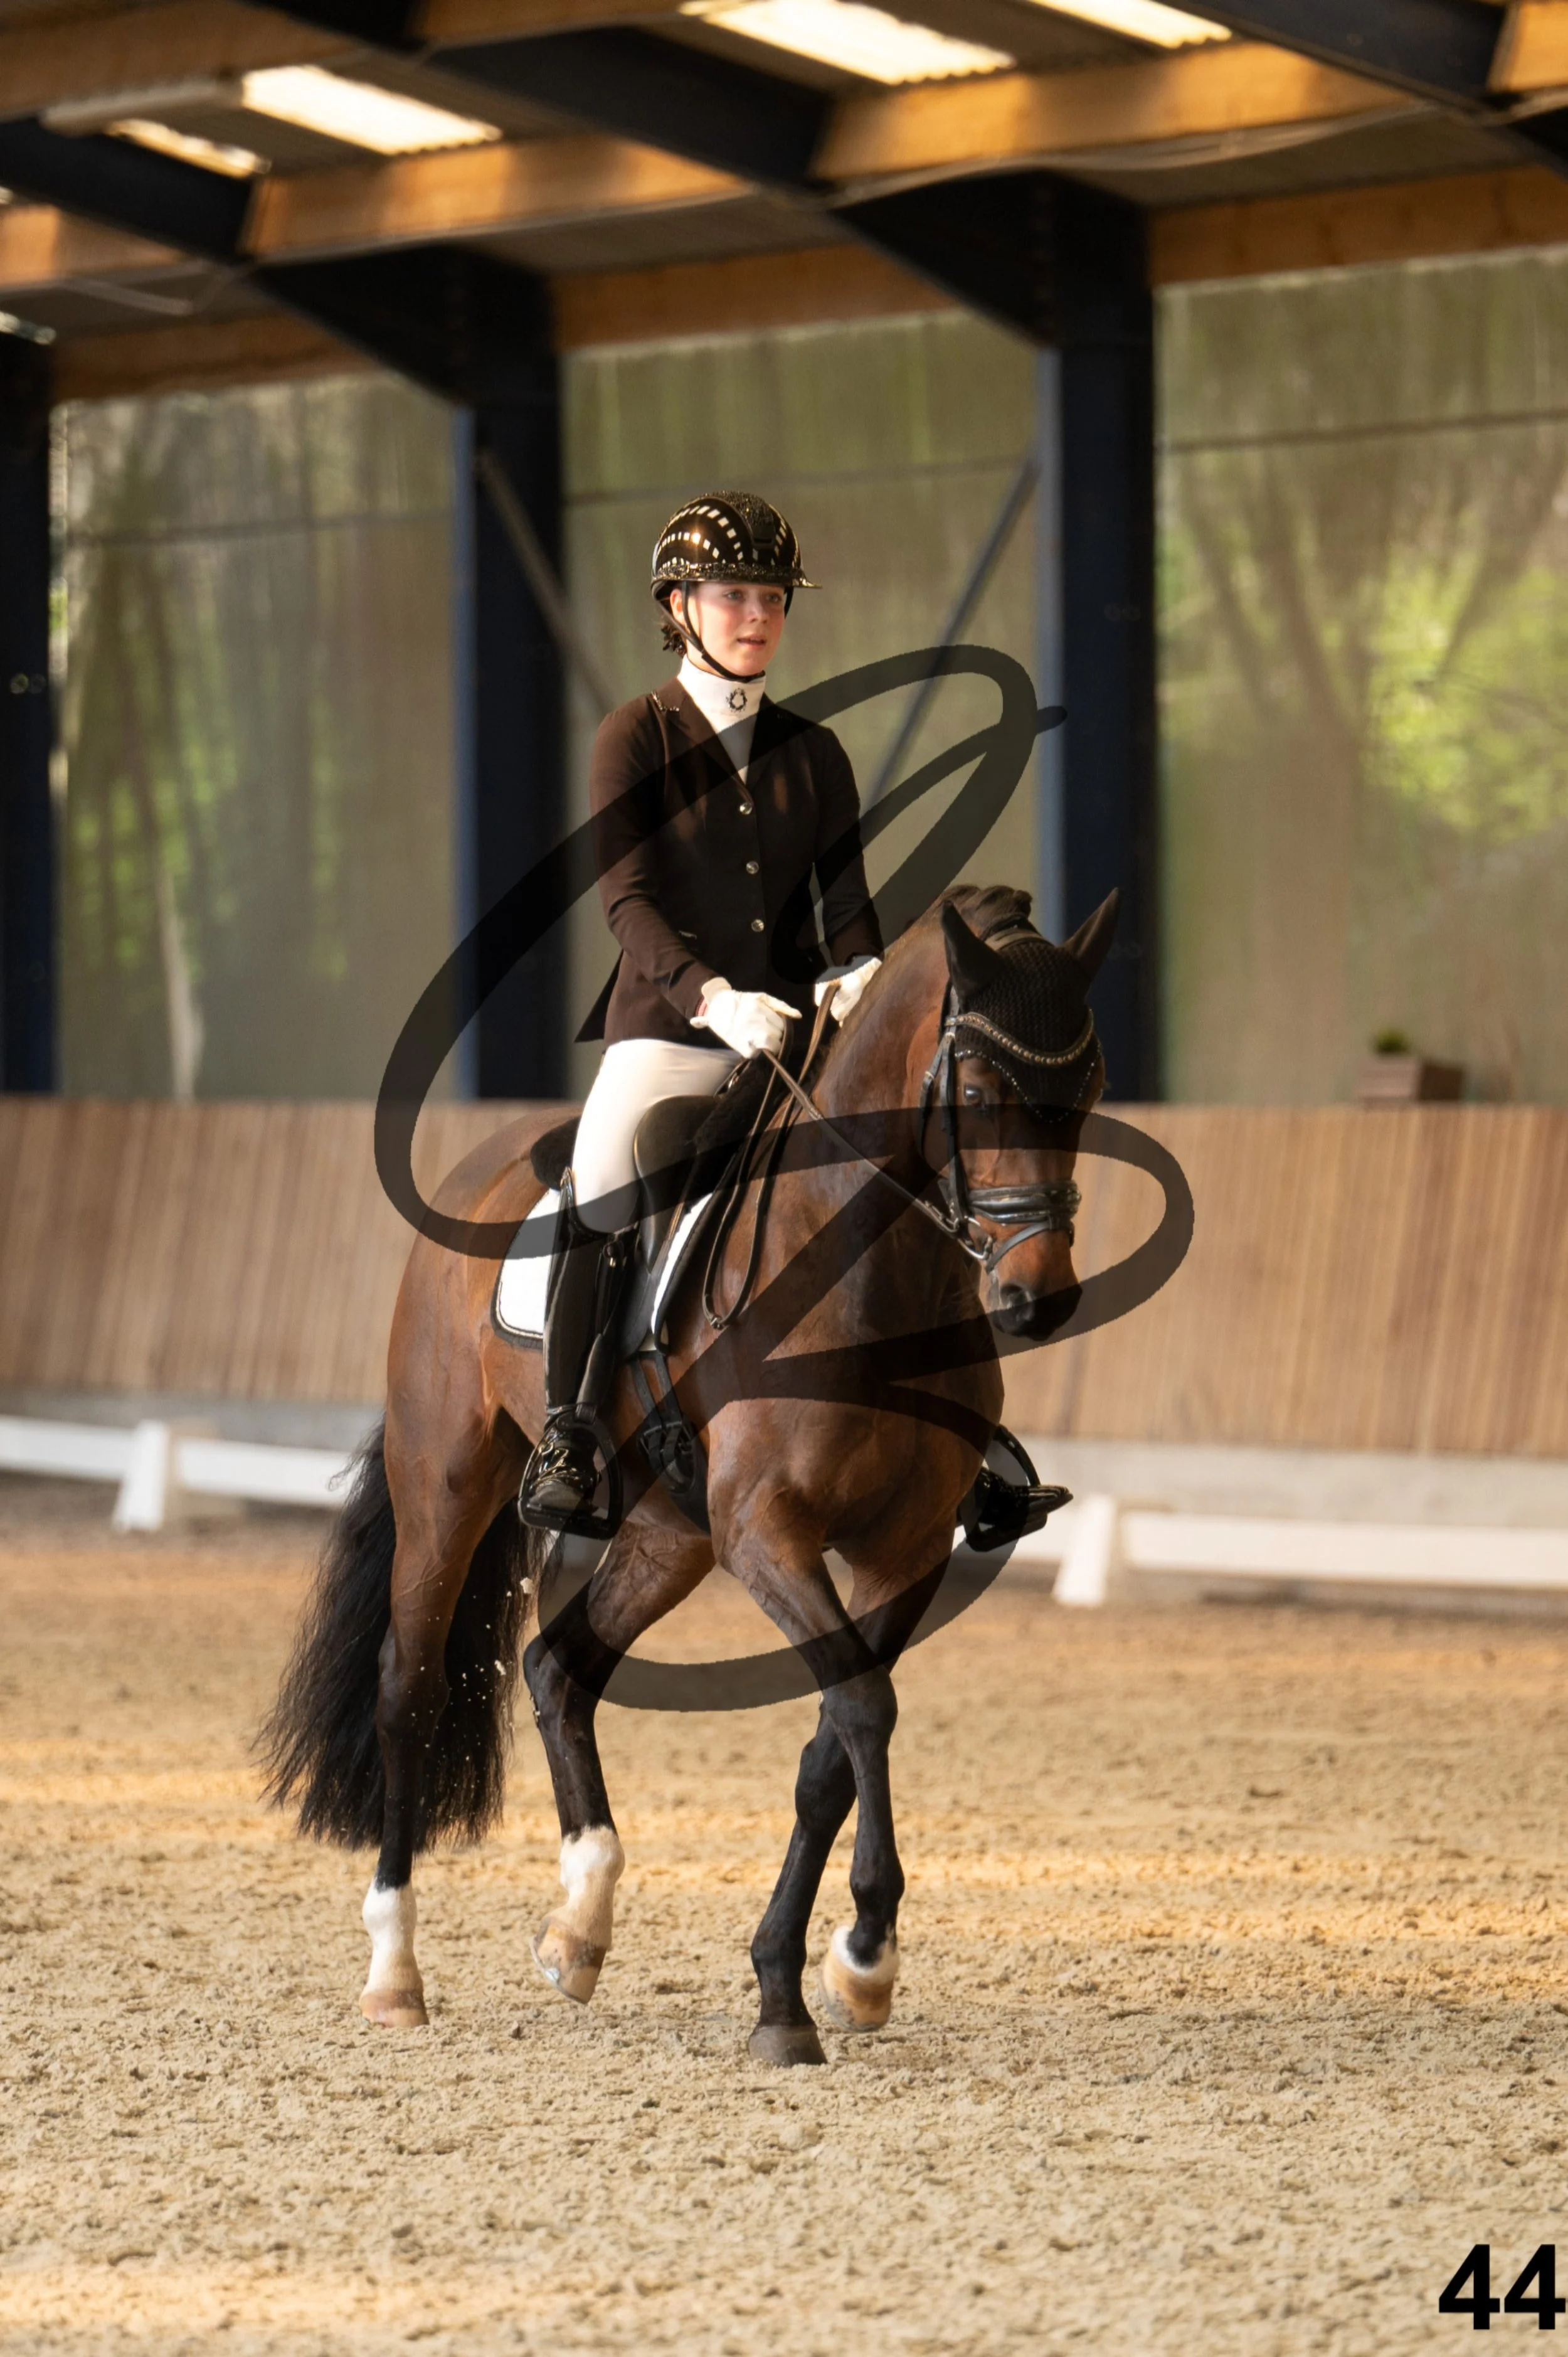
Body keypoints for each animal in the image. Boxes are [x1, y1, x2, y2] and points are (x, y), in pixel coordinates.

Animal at [261, 881, 1114, 2066]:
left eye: (1088, 1086)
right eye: (982, 1089)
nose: (1040, 1297)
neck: (869, 1274)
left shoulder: (901, 1549)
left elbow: (832, 1744)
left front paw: (795, 1983)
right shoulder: (768, 1531)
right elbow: (862, 1701)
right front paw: (865, 1953)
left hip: (669, 1532)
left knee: (557, 1666)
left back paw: (579, 1925)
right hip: (450, 1480)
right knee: (409, 1686)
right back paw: (395, 1967)